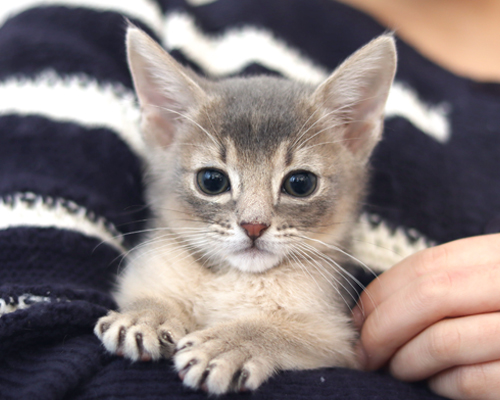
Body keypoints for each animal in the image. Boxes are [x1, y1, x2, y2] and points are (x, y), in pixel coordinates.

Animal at [94, 25, 396, 395]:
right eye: (212, 181)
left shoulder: (340, 339)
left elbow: (280, 331)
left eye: (300, 184)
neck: (234, 280)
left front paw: (230, 345)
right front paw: (147, 314)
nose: (254, 226)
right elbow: (150, 295)